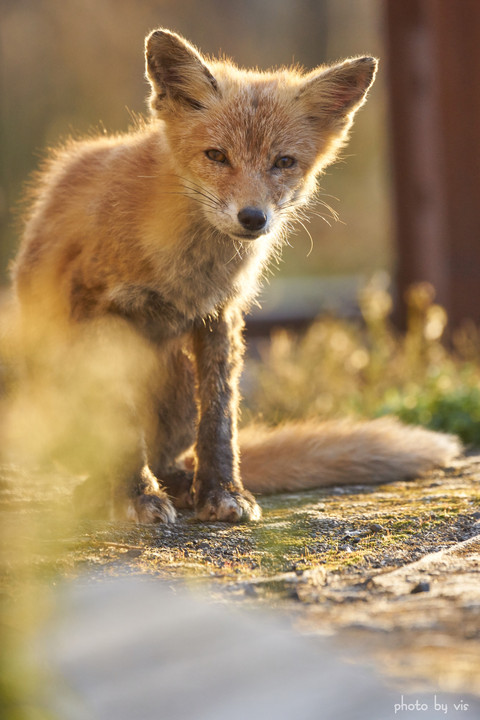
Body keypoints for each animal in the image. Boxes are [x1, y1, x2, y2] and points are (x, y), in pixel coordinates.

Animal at [12, 29, 462, 524]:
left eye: (283, 162)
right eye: (216, 156)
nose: (253, 218)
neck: (186, 268)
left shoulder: (219, 315)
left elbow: (220, 419)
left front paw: (222, 492)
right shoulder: (101, 313)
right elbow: (124, 427)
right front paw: (137, 497)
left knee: (173, 455)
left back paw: (181, 485)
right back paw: (105, 493)